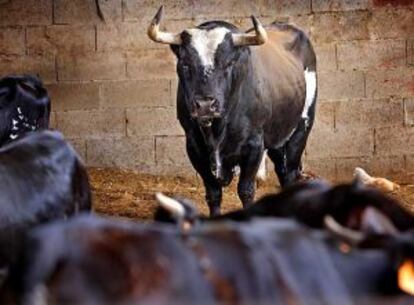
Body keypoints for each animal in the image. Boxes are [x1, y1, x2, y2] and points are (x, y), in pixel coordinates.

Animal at [148, 4, 316, 214]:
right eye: (185, 64)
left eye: (228, 63)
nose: (205, 105)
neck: (216, 130)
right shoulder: (193, 146)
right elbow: (213, 193)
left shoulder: (254, 145)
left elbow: (246, 190)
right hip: (278, 135)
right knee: (282, 168)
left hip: (302, 126)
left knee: (290, 172)